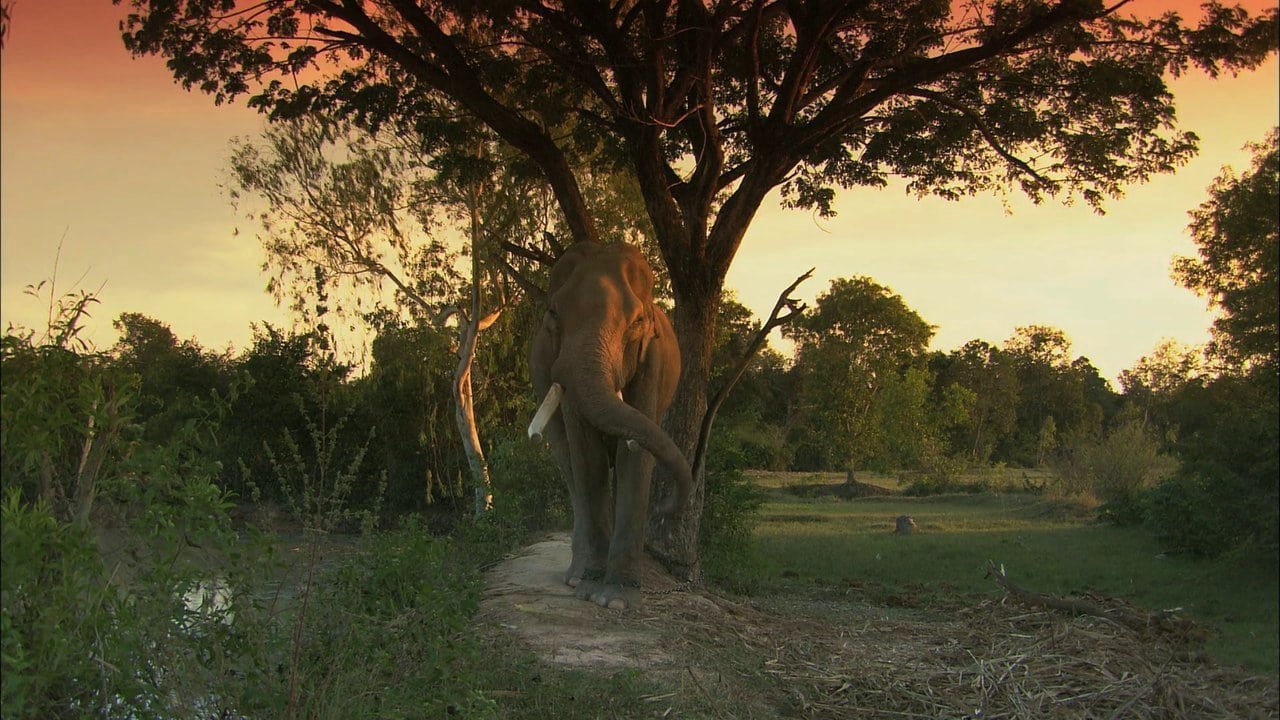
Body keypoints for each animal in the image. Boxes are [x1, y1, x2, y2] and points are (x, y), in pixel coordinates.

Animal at [527, 241, 693, 610]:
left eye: (638, 322)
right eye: (553, 314)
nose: (666, 507)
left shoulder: (651, 361)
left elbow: (636, 458)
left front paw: (615, 600)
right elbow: (586, 456)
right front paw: (591, 590)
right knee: (567, 461)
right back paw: (576, 576)